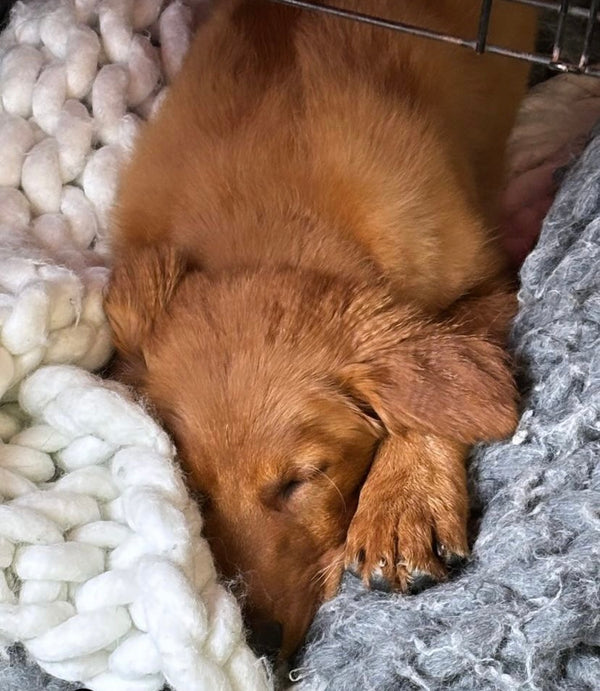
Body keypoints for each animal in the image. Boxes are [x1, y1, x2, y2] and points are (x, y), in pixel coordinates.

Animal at [105, 0, 536, 660]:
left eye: (302, 479)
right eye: (193, 490)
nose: (256, 643)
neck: (270, 216)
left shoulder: (490, 280)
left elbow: (435, 388)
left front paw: (402, 504)